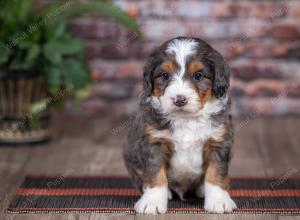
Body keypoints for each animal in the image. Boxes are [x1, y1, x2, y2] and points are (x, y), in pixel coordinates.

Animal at [122, 37, 237, 214]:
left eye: (198, 76)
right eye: (164, 75)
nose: (179, 99)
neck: (186, 119)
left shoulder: (218, 140)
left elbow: (216, 173)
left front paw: (219, 201)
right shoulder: (154, 142)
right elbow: (155, 174)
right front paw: (152, 201)